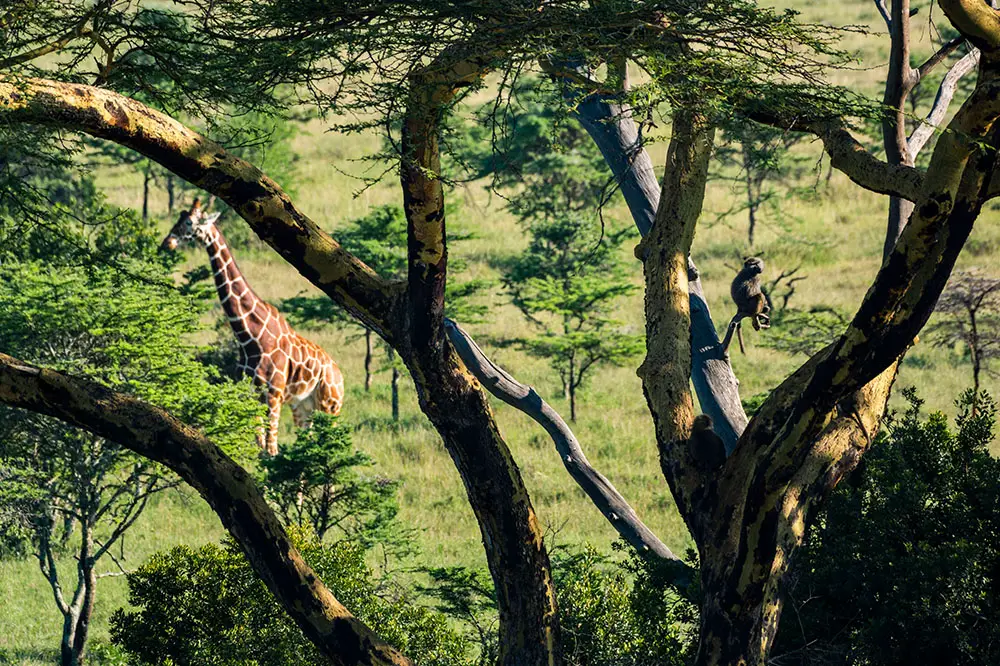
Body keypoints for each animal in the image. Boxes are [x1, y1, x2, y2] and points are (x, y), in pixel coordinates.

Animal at [162, 197, 346, 454]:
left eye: (189, 222)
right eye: (179, 217)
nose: (167, 242)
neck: (250, 336)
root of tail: (340, 375)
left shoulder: (273, 395)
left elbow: (271, 450)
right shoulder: (251, 394)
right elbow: (260, 450)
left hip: (330, 406)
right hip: (303, 407)